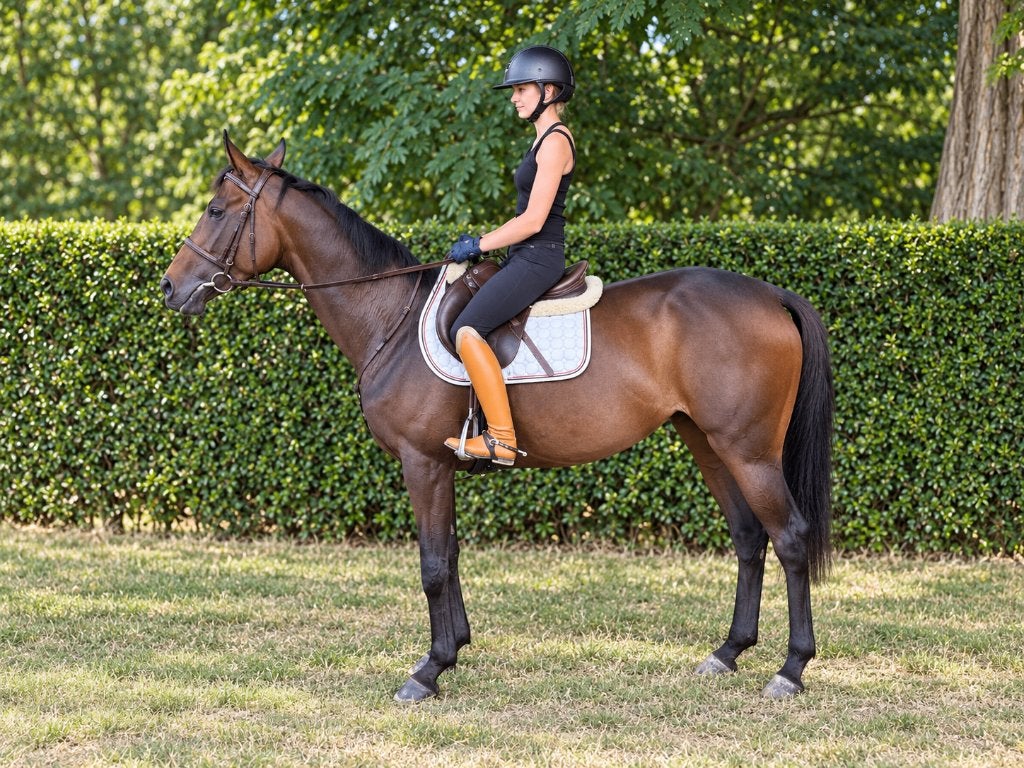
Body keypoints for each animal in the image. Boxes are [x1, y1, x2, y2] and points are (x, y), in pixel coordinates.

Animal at [160, 133, 835, 703]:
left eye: (216, 211)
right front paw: (455, 648)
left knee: (789, 538)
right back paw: (728, 652)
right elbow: (452, 553)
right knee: (748, 537)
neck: (390, 316)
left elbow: (433, 564)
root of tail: (771, 294)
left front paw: (428, 671)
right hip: (707, 443)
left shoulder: (422, 462)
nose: (170, 288)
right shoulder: (442, 463)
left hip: (748, 450)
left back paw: (790, 669)